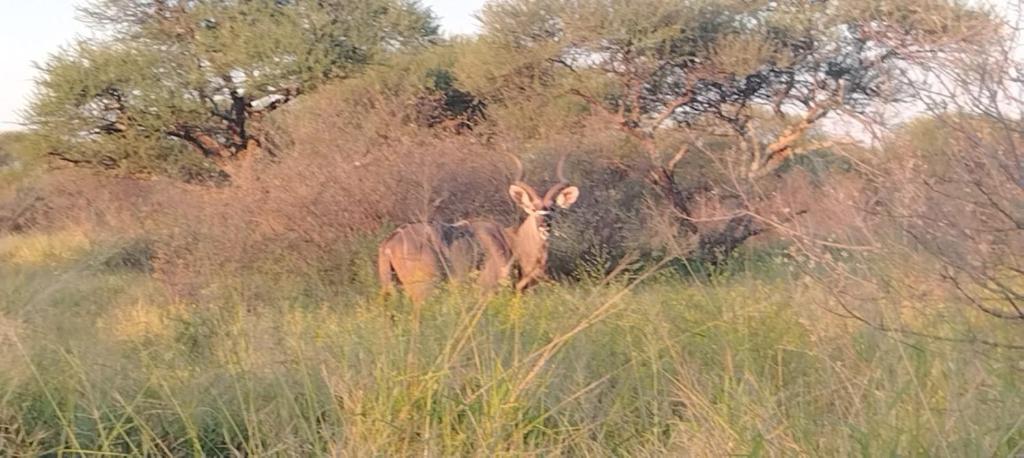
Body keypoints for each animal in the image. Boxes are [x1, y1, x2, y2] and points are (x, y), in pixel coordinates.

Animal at [377, 155, 581, 303]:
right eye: (531, 209)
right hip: (423, 289)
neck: (513, 242)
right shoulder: (487, 288)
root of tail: (388, 243)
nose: (544, 225)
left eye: (553, 209)